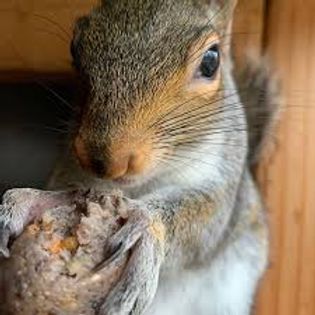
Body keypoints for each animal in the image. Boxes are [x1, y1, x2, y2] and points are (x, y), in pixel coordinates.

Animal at [0, 0, 282, 315]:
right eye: (75, 49)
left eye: (211, 61)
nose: (107, 159)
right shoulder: (72, 166)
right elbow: (73, 193)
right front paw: (30, 200)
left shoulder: (224, 178)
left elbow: (204, 221)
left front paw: (145, 226)